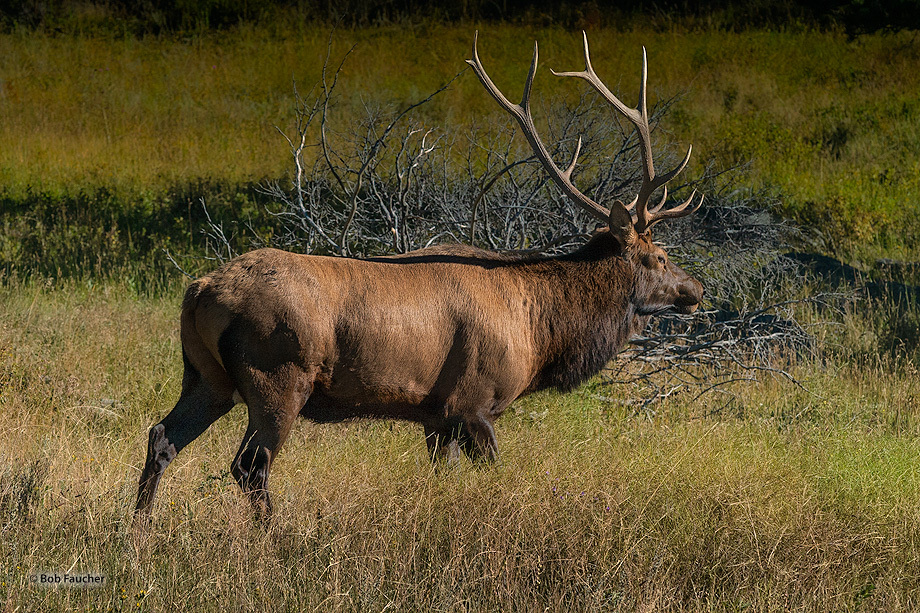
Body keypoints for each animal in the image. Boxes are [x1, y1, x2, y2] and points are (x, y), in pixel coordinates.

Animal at [135, 32, 704, 516]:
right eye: (658, 256)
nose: (695, 288)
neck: (538, 329)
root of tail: (199, 291)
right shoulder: (475, 402)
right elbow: (493, 473)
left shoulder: (437, 415)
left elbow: (441, 477)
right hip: (277, 375)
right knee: (250, 465)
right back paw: (271, 537)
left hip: (207, 376)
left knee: (161, 437)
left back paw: (136, 530)